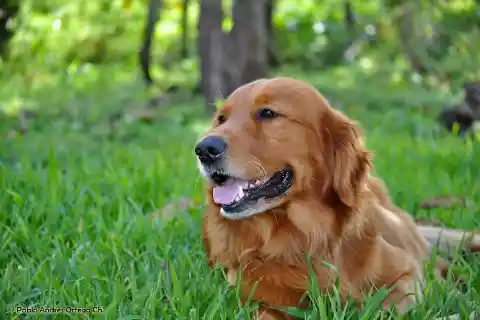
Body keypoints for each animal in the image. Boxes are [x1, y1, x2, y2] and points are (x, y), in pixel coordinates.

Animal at [193, 77, 478, 320]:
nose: (204, 149)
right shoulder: (255, 297)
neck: (308, 235)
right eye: (221, 119)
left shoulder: (408, 274)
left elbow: (391, 305)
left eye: (268, 113)